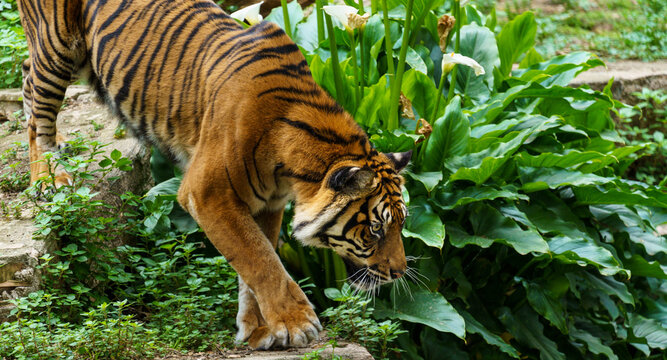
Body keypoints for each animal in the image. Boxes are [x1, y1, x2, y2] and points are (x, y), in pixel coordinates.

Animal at [17, 0, 412, 348]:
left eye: (401, 224)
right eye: (375, 229)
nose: (399, 272)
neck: (292, 169)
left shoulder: (268, 204)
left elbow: (255, 262)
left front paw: (259, 331)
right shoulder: (207, 193)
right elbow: (260, 260)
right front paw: (297, 323)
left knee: (24, 78)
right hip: (56, 44)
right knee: (38, 109)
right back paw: (48, 177)